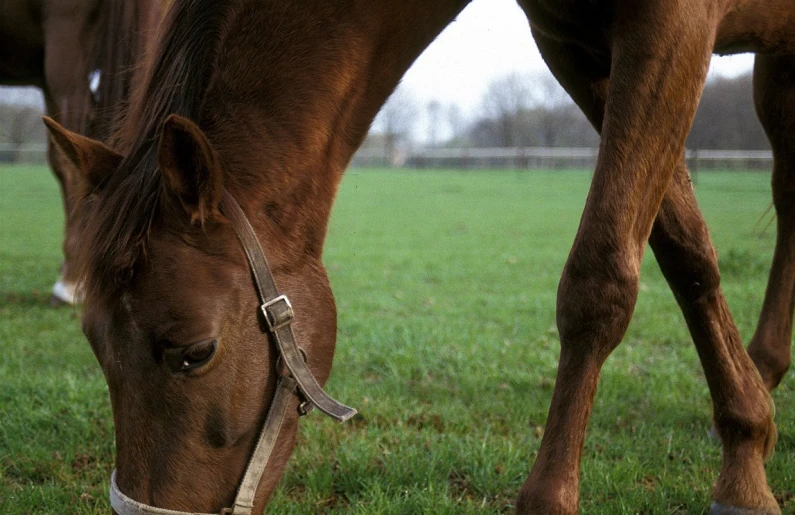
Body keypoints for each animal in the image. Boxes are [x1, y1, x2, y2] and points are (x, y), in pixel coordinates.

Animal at [43, 0, 795, 512]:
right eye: (95, 345)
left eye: (193, 351)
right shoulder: (576, 47)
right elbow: (684, 249)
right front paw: (747, 445)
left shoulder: (670, 22)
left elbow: (601, 275)